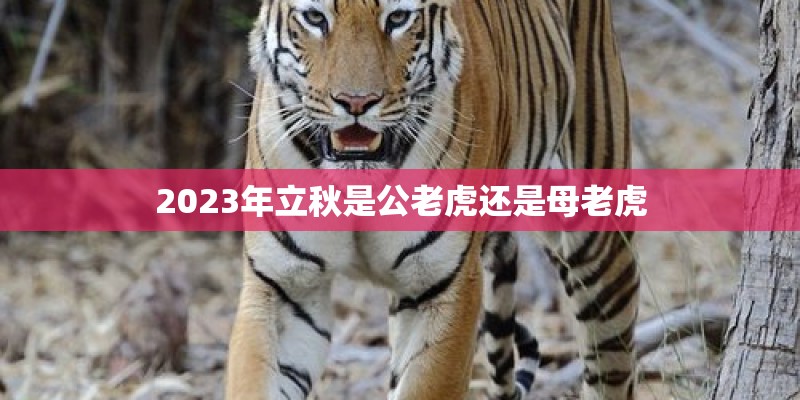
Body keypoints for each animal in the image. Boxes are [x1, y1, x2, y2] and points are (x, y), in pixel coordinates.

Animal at [225, 1, 639, 400]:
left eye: (397, 18)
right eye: (314, 17)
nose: (356, 102)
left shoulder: (443, 287)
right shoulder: (285, 286)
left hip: (597, 241)